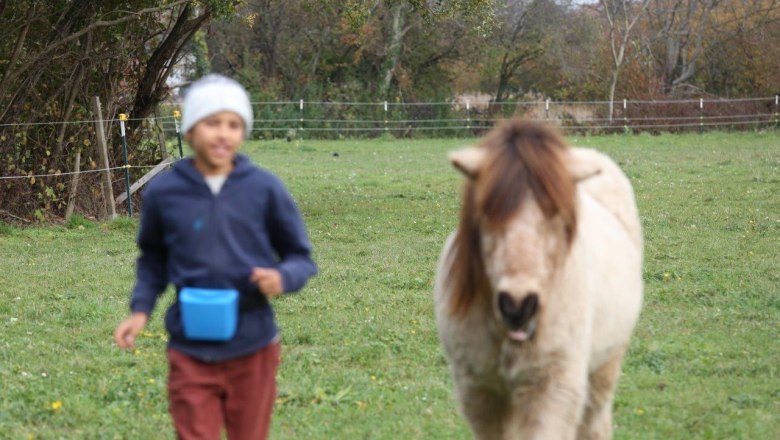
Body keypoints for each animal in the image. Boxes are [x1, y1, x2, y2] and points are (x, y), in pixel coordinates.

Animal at [434, 120, 643, 440]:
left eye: (558, 213)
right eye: (486, 212)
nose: (518, 306)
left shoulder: (552, 392)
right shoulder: (480, 395)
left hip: (604, 367)